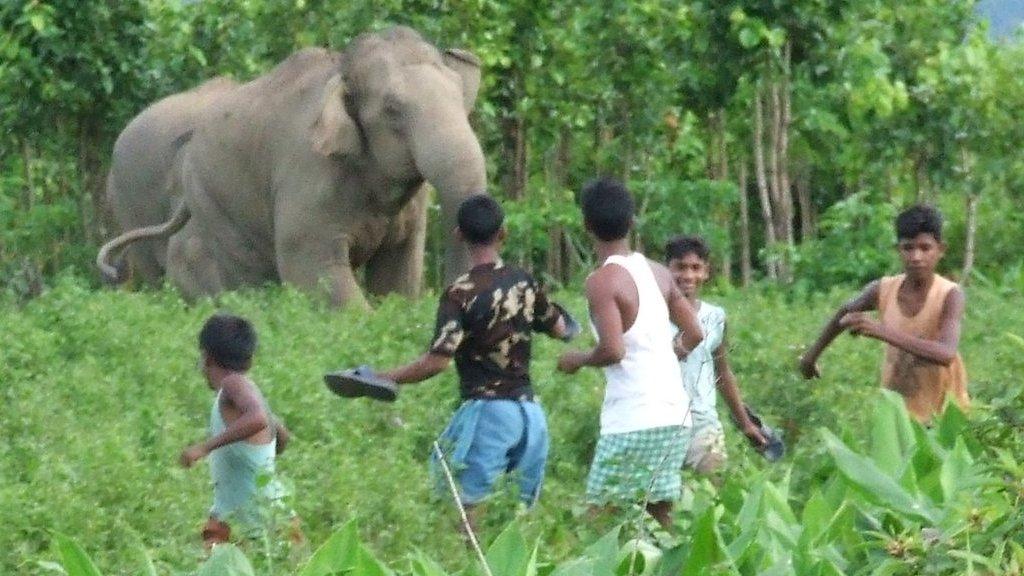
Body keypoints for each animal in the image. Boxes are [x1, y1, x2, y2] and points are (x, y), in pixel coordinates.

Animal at [99, 26, 487, 307]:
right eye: (392, 109)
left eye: (460, 96)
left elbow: (398, 273)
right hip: (206, 204)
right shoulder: (309, 176)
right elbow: (315, 269)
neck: (340, 71)